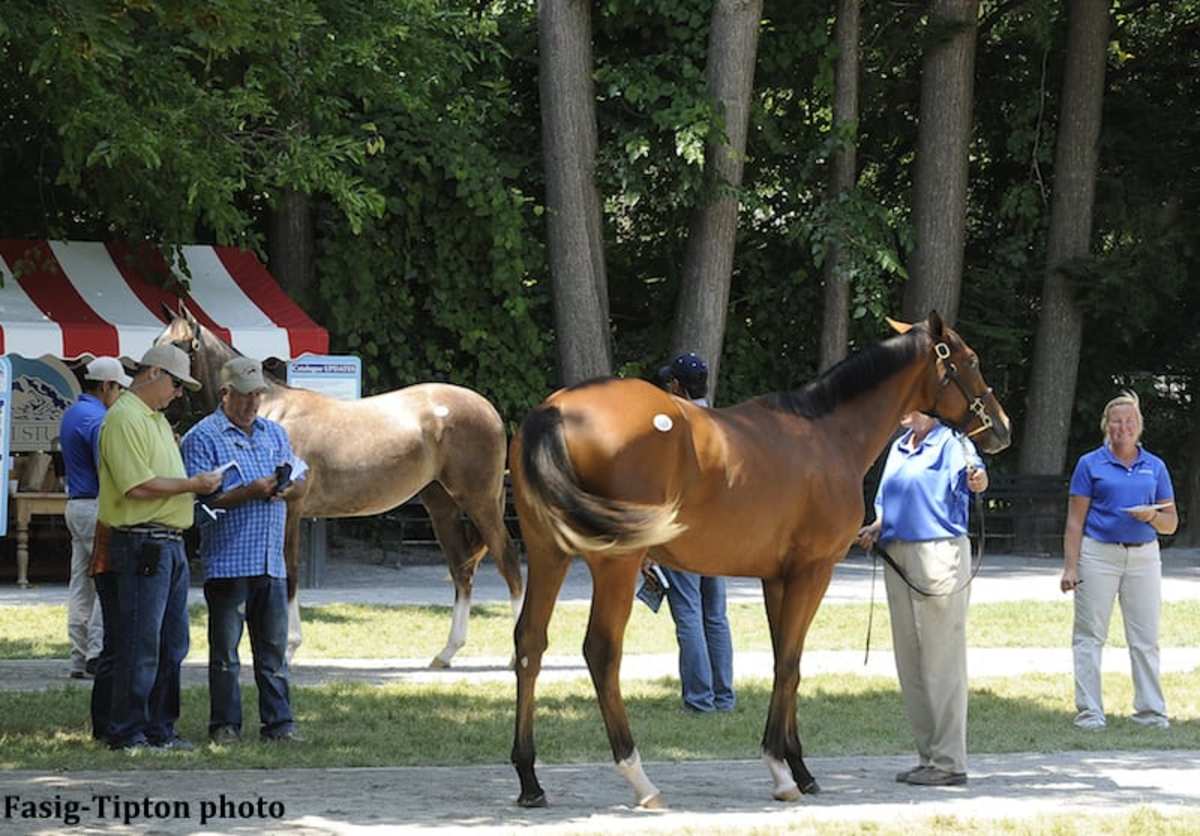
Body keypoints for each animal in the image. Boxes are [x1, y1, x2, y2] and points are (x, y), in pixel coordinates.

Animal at [153, 304, 520, 666]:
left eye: (177, 344)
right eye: (157, 340)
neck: (268, 412)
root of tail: (489, 410)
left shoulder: (289, 508)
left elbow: (289, 572)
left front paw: (288, 647)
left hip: (480, 502)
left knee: (509, 563)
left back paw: (518, 655)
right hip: (442, 507)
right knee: (461, 570)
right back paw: (446, 653)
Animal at [508, 309, 1012, 806]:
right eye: (970, 360)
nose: (1002, 427)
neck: (828, 434)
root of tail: (556, 409)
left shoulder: (777, 577)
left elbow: (783, 660)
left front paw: (798, 766)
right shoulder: (814, 571)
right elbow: (790, 662)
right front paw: (783, 770)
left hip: (549, 554)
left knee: (530, 643)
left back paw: (530, 779)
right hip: (617, 562)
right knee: (601, 651)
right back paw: (640, 779)